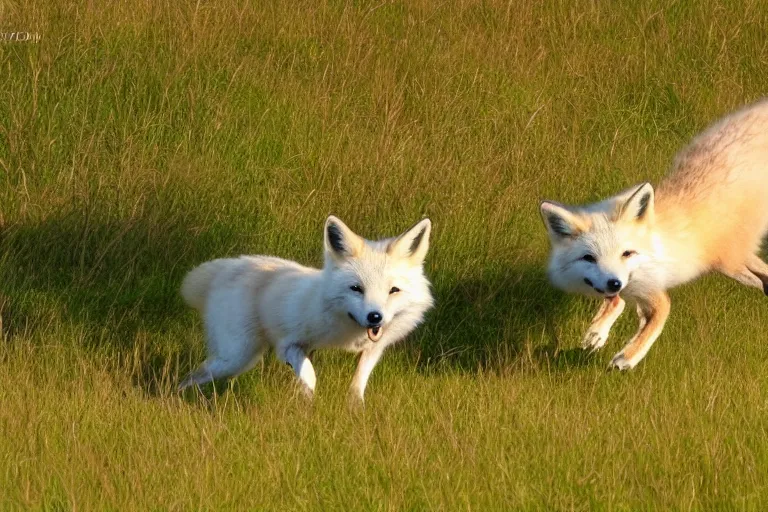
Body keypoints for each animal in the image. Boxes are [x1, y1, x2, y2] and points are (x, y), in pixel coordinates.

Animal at [177, 214, 436, 402]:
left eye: (393, 290)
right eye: (356, 288)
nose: (375, 317)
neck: (347, 332)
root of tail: (228, 267)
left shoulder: (373, 349)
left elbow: (357, 385)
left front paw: (354, 410)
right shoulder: (288, 345)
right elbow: (309, 376)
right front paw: (308, 402)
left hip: (239, 360)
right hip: (235, 358)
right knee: (190, 378)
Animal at [540, 100, 768, 370]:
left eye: (627, 253)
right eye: (589, 258)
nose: (614, 282)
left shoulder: (653, 291)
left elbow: (656, 319)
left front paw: (628, 357)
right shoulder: (627, 288)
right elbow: (616, 302)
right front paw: (598, 332)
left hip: (730, 262)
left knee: (760, 275)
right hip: (732, 263)